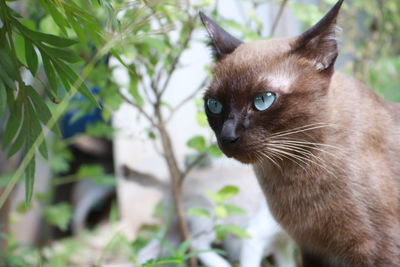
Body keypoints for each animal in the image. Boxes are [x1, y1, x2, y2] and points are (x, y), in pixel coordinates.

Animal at [123, 163, 296, 267]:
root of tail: (172, 184)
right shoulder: (255, 234)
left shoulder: (283, 244)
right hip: (210, 218)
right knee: (196, 244)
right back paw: (222, 264)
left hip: (174, 229)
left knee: (146, 252)